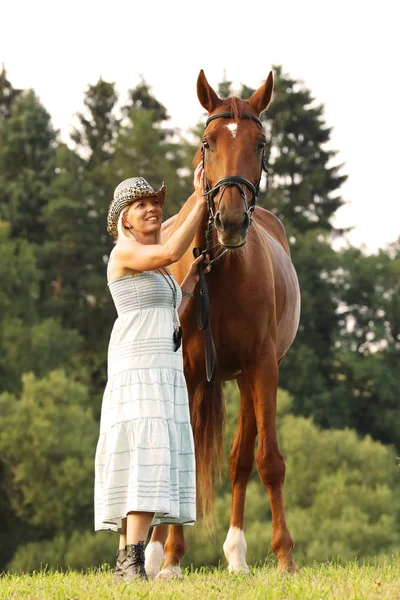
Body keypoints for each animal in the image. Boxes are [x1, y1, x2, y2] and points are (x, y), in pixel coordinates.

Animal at [145, 71, 300, 580]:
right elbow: (185, 456)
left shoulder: (262, 368)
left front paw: (284, 555)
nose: (231, 220)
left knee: (239, 459)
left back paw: (235, 552)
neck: (222, 271)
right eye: (208, 143)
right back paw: (156, 552)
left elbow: (266, 460)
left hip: (245, 379)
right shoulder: (189, 373)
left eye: (260, 144)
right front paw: (171, 559)